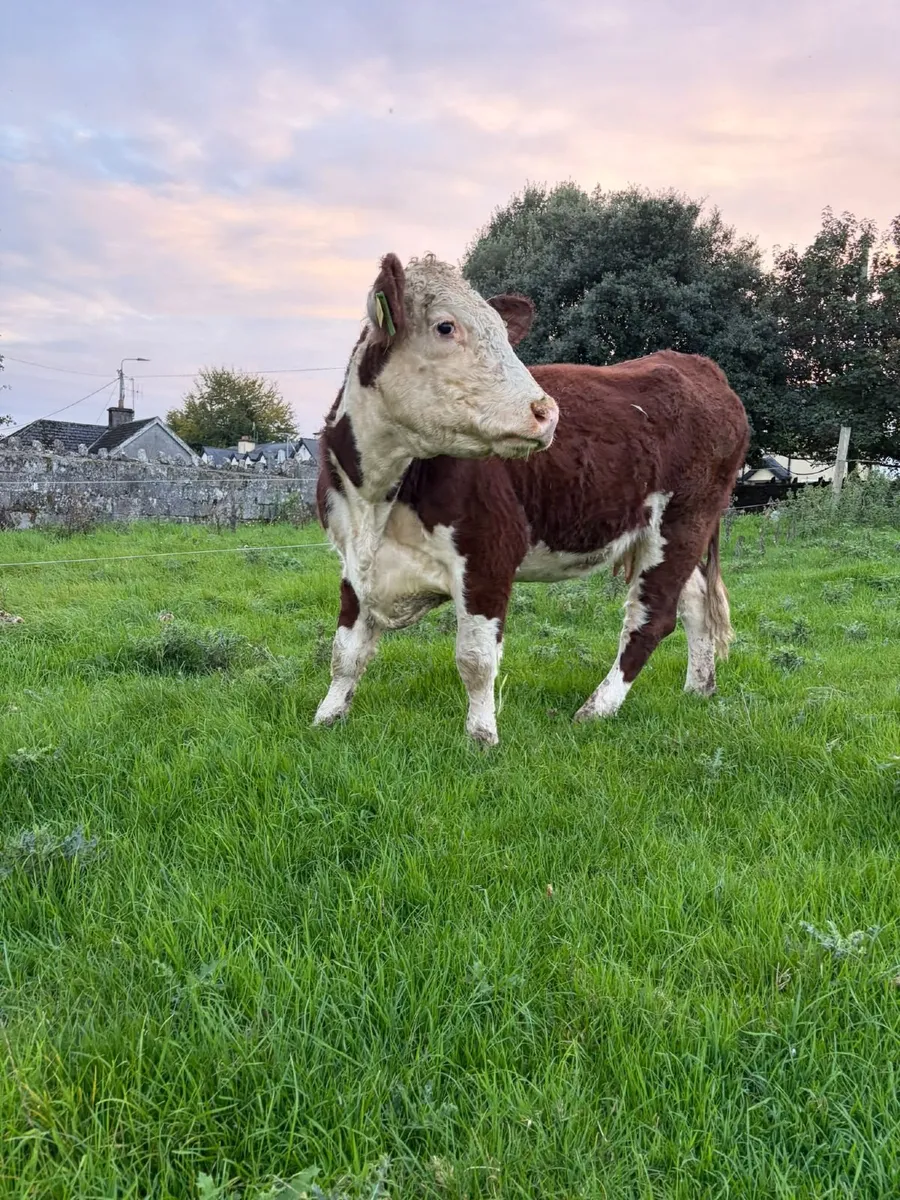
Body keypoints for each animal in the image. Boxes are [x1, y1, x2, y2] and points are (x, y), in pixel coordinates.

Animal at [313, 252, 750, 745]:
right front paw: (327, 718)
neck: (376, 497)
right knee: (695, 603)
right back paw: (699, 688)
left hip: (685, 518)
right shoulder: (353, 561)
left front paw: (481, 737)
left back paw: (597, 708)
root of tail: (699, 366)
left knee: (652, 617)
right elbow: (345, 651)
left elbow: (475, 658)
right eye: (445, 326)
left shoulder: (489, 553)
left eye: (504, 334)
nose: (546, 412)